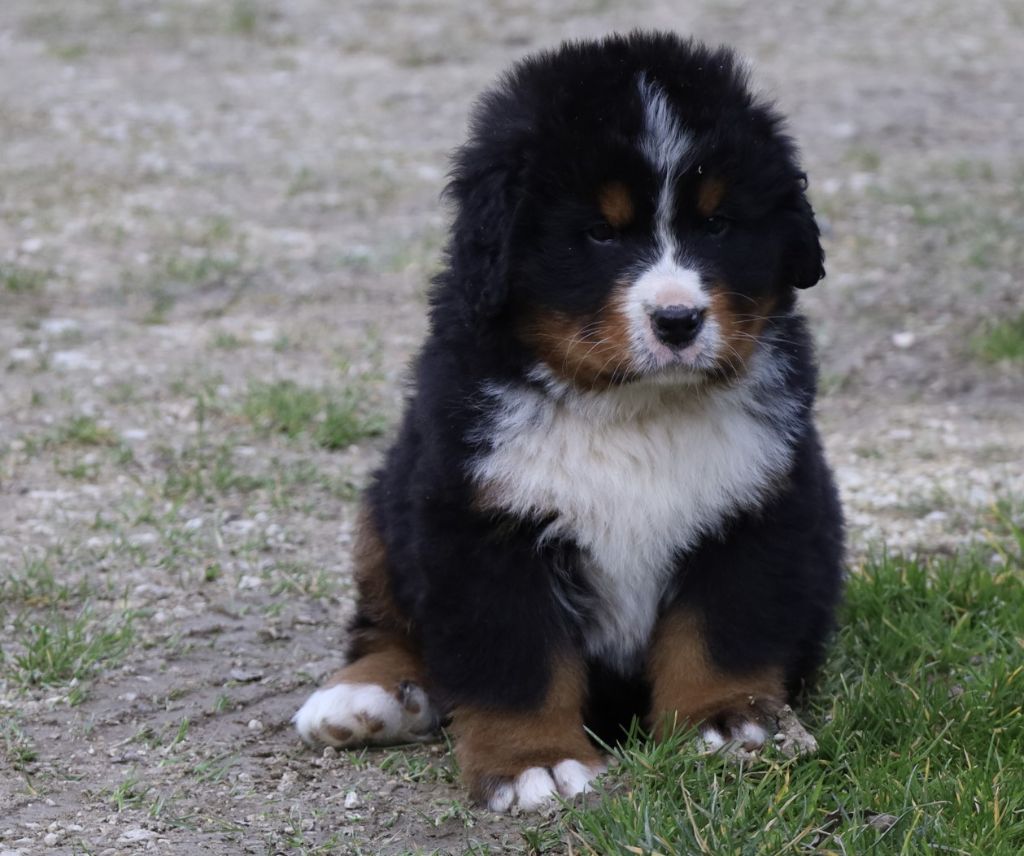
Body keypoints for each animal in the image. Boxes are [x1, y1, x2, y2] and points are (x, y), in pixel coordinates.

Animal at [294, 31, 844, 813]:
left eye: (718, 225)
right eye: (599, 235)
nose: (678, 319)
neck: (631, 409)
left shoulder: (757, 505)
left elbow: (721, 632)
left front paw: (728, 722)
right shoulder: (482, 520)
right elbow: (518, 662)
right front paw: (536, 763)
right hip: (388, 497)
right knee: (385, 620)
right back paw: (368, 697)